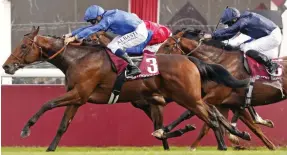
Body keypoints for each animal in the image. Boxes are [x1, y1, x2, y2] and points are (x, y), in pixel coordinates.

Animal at [1, 26, 252, 151]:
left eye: (23, 46)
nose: (6, 66)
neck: (78, 58)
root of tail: (190, 59)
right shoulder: (78, 98)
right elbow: (63, 125)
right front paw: (50, 148)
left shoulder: (79, 93)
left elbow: (47, 103)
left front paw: (26, 129)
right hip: (180, 98)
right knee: (213, 115)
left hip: (188, 98)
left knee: (212, 118)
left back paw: (224, 143)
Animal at [158, 28, 287, 150]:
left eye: (167, 45)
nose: (157, 58)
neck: (220, 62)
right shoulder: (230, 103)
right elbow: (254, 127)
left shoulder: (215, 97)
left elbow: (193, 115)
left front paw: (190, 146)